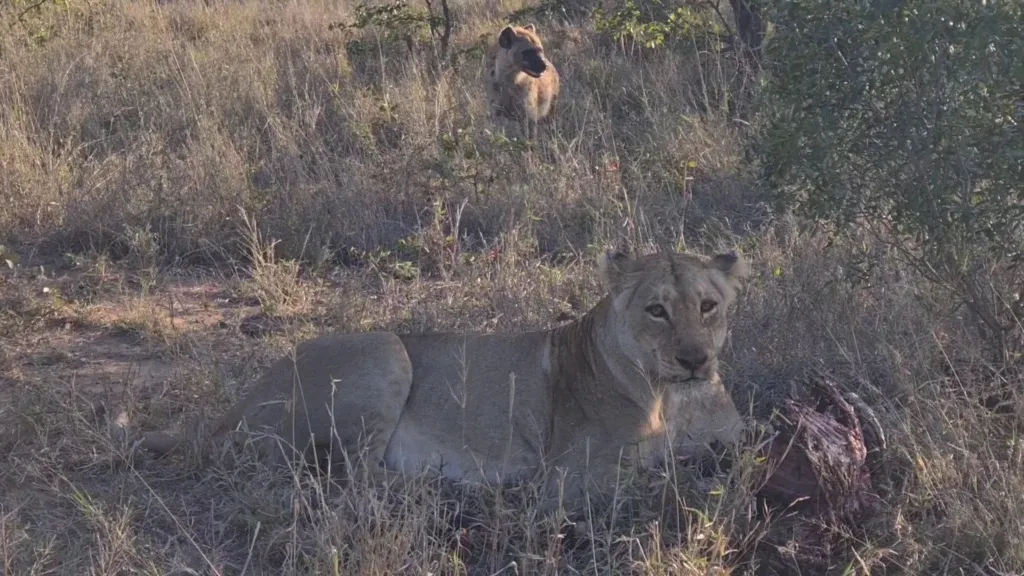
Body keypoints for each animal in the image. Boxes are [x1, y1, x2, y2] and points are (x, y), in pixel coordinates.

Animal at [139, 249, 751, 513]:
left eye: (708, 306)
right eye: (656, 311)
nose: (694, 359)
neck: (675, 398)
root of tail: (238, 403)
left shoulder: (737, 436)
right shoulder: (572, 477)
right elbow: (657, 476)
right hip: (385, 348)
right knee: (350, 477)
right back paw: (452, 485)